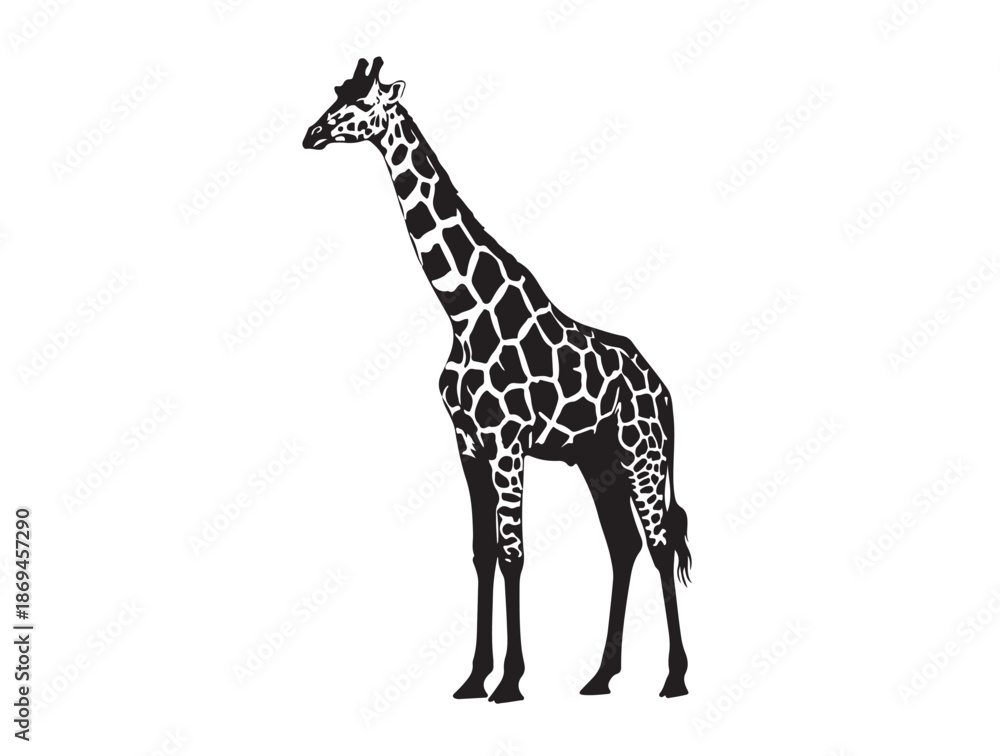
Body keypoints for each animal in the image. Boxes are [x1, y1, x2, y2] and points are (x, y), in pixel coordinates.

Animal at [303, 58, 691, 703]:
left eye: (364, 104)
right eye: (337, 93)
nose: (311, 135)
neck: (463, 312)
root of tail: (664, 390)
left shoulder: (508, 442)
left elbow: (513, 554)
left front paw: (509, 681)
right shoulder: (467, 442)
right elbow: (482, 553)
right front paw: (473, 678)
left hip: (644, 455)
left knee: (660, 545)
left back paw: (675, 678)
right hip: (600, 461)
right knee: (623, 545)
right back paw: (600, 677)